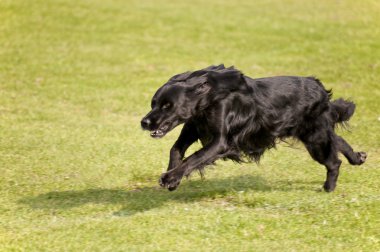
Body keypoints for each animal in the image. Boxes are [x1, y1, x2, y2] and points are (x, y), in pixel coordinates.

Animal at [141, 64, 366, 191]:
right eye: (153, 103)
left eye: (168, 106)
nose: (144, 122)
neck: (208, 99)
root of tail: (319, 87)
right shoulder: (193, 129)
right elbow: (175, 150)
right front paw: (173, 179)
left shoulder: (220, 142)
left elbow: (194, 158)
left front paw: (170, 177)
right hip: (314, 132)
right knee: (338, 141)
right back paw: (358, 158)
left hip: (315, 138)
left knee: (334, 162)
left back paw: (328, 189)